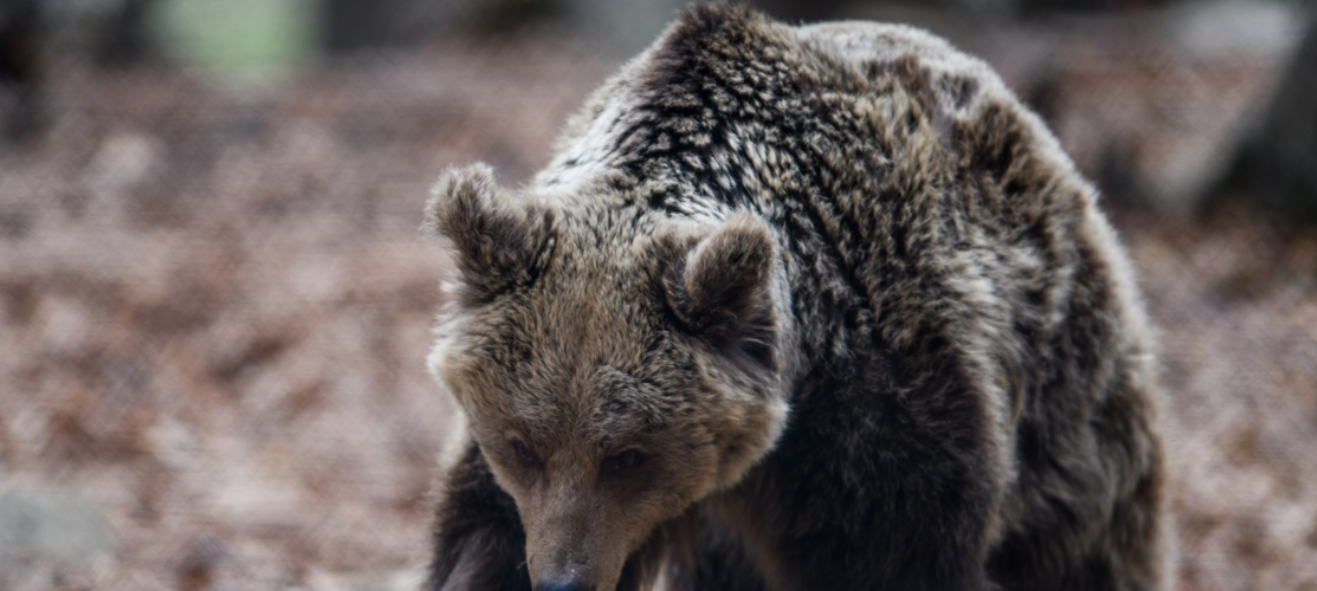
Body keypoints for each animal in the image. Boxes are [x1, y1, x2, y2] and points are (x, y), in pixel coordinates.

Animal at [418, 4, 1174, 589]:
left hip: (1067, 407)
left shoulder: (885, 405)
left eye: (629, 455)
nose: (563, 580)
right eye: (521, 444)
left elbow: (892, 552)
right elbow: (482, 536)